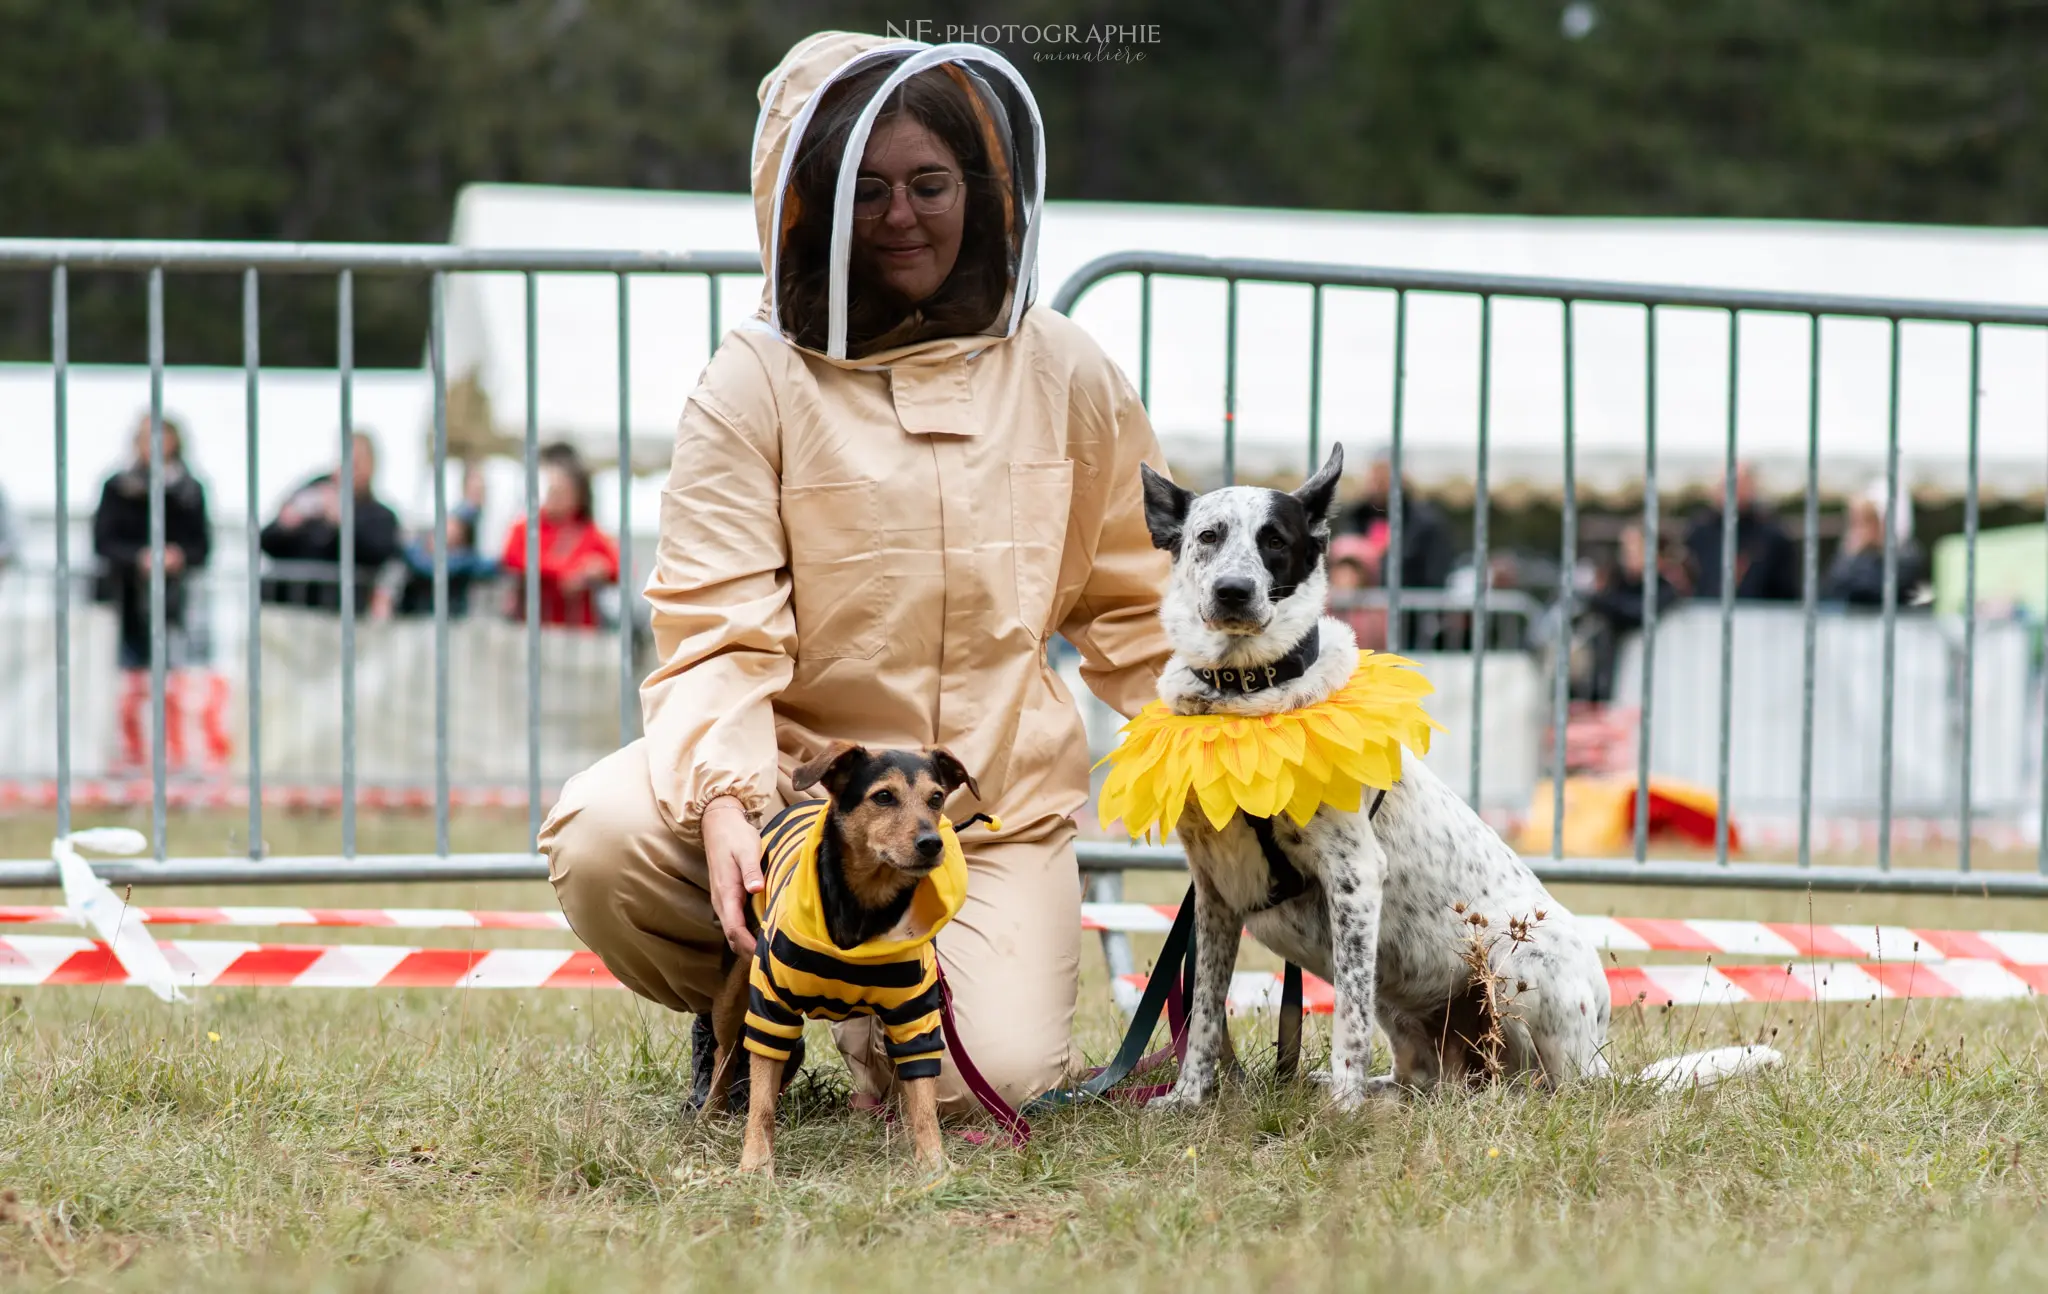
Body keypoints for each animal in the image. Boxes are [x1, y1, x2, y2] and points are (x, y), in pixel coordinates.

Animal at [712, 737, 983, 1171]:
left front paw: (933, 1164)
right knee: (725, 1055)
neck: (866, 906)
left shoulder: (915, 1015)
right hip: (734, 990)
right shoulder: (771, 1008)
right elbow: (761, 1103)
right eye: (883, 796)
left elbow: (923, 1100)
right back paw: (707, 1116)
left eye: (937, 798)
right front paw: (755, 1164)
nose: (932, 843)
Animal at [1138, 446, 1777, 1113]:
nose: (1232, 591)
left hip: (1517, 968)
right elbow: (1203, 1014)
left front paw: (1341, 1111)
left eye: (1275, 541)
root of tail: (1602, 1066)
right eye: (1208, 536)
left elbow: (1346, 1020)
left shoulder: (1354, 877)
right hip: (1414, 1018)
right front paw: (1188, 1099)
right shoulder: (1215, 892)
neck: (1245, 700)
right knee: (1425, 1079)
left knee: (1544, 1087)